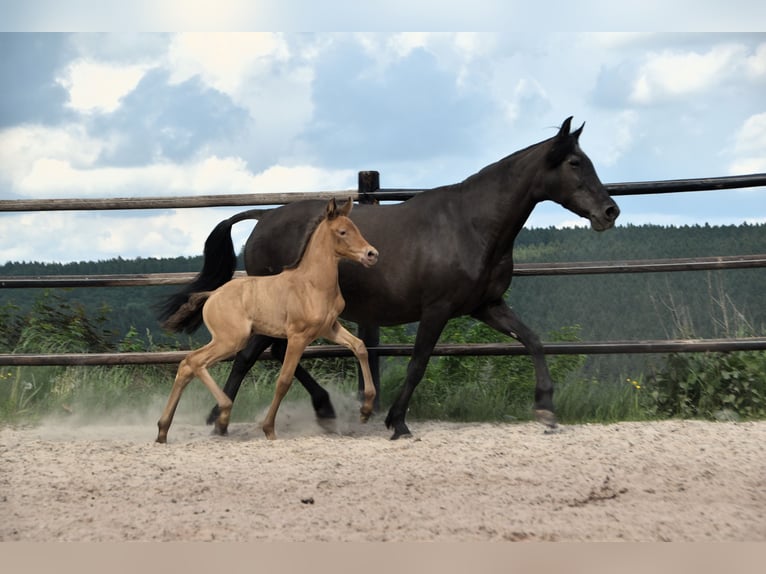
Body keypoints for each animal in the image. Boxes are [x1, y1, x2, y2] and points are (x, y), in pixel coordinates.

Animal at [155, 198, 379, 443]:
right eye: (342, 232)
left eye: (356, 228)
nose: (372, 254)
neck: (312, 284)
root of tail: (212, 294)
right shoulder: (298, 336)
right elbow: (284, 381)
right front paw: (269, 428)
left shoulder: (329, 328)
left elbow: (360, 347)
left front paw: (366, 410)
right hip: (231, 340)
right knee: (194, 361)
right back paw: (221, 413)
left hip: (228, 341)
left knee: (187, 365)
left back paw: (164, 431)